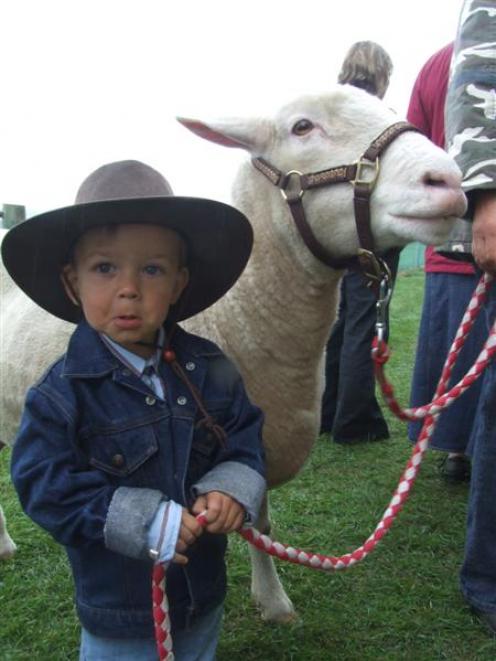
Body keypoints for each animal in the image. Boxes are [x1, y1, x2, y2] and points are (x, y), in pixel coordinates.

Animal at [0, 86, 464, 620]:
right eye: (302, 127)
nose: (449, 182)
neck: (240, 312)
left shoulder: (251, 443)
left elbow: (260, 524)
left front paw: (274, 600)